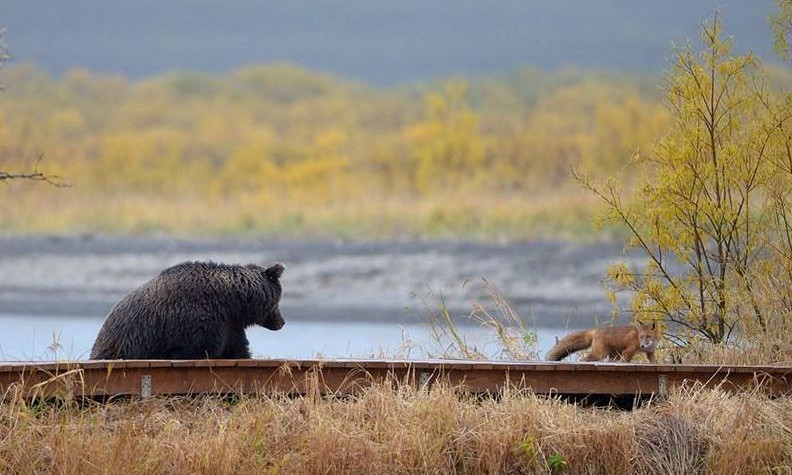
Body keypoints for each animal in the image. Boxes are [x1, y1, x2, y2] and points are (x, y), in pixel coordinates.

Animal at [90, 261, 285, 360]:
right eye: (277, 301)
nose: (282, 322)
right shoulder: (198, 320)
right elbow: (198, 350)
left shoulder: (230, 325)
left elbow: (237, 349)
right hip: (125, 344)